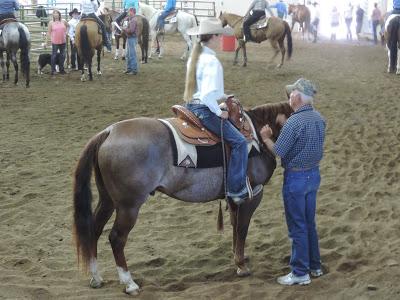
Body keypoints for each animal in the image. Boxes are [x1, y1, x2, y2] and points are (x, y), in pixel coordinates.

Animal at [73, 102, 294, 294]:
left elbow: (235, 227)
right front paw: (241, 266)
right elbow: (242, 229)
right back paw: (129, 283)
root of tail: (108, 132)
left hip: (108, 200)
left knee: (94, 230)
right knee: (116, 238)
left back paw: (96, 278)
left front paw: (238, 259)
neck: (257, 132)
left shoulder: (234, 198)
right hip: (129, 206)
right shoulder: (253, 194)